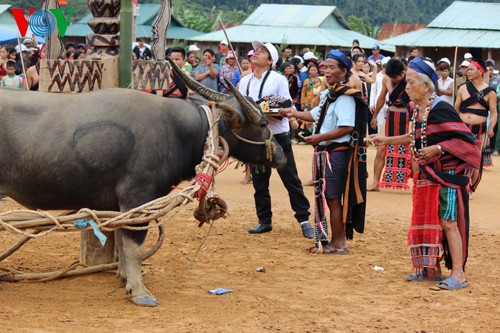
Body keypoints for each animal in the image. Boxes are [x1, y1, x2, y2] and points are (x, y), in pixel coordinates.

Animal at [0, 104, 229, 280]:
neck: (177, 133)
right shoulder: (137, 196)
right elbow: (134, 247)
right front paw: (139, 292)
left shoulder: (122, 206)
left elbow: (121, 238)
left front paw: (123, 276)